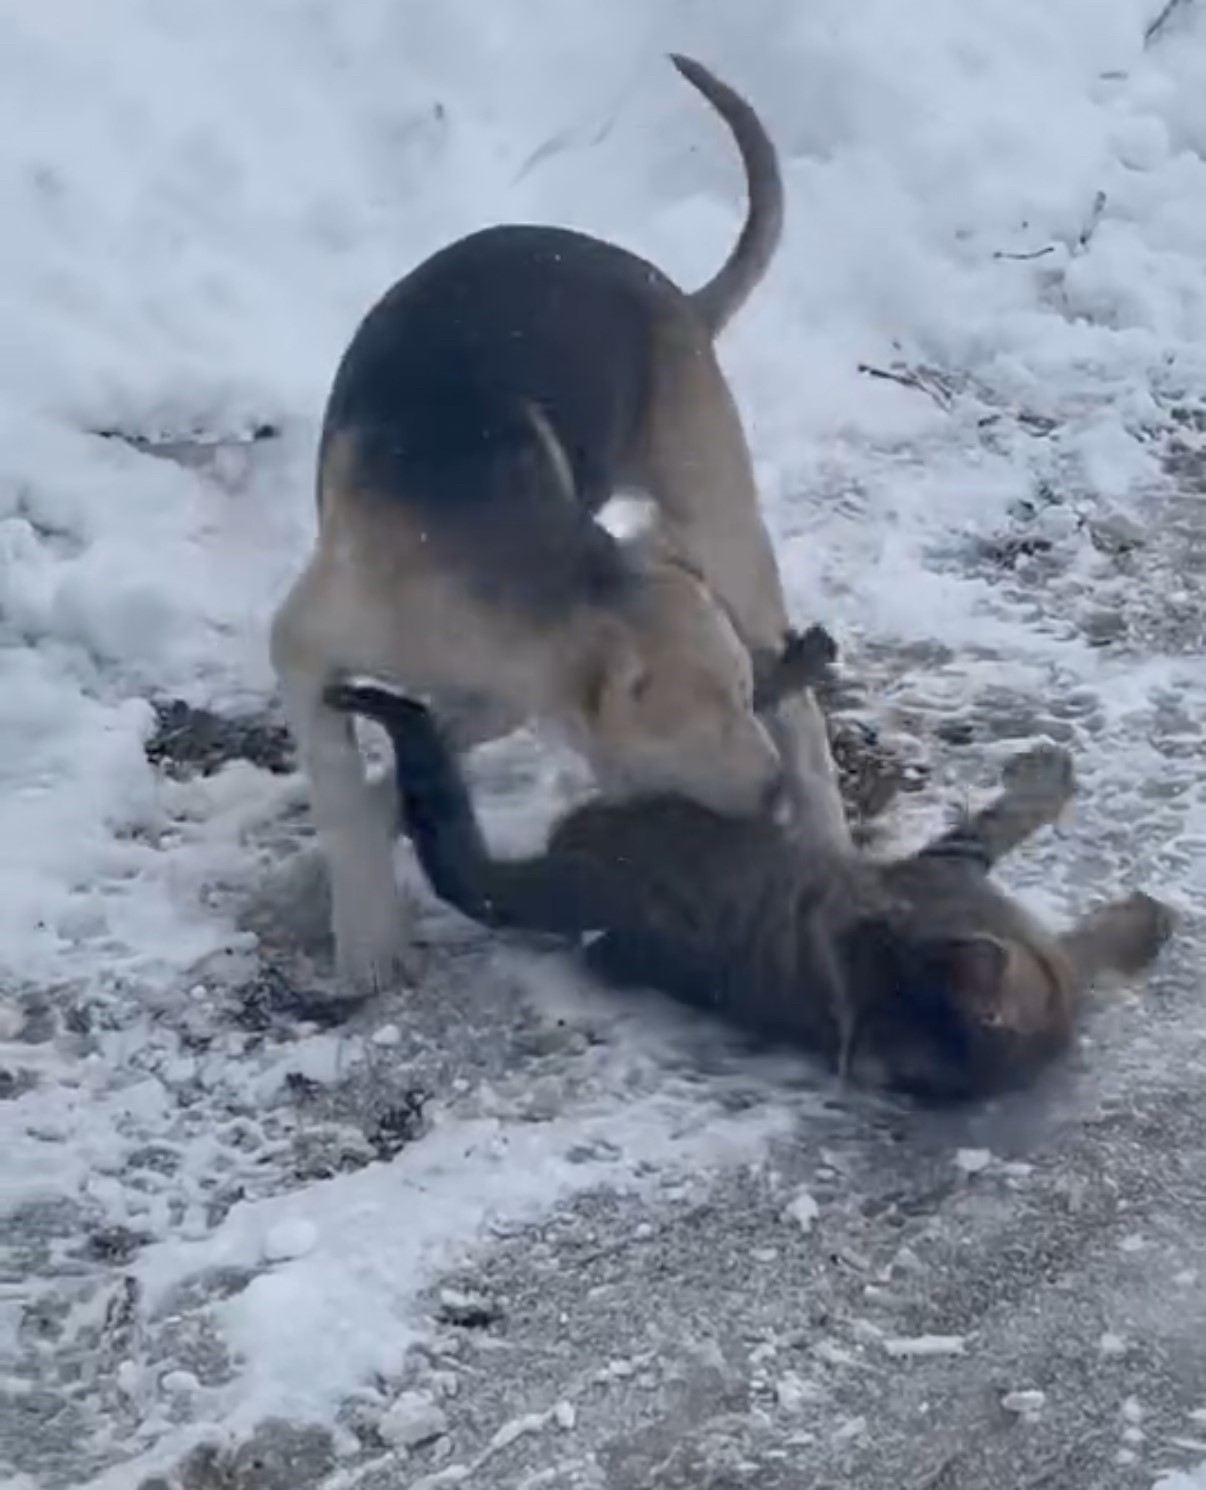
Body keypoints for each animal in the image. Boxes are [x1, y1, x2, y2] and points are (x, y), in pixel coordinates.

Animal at [269, 52, 846, 995]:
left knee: (799, 709)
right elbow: (344, 780)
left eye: (741, 693)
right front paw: (366, 929)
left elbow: (389, 779)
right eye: (713, 710)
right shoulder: (308, 646)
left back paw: (825, 822)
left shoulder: (504, 693)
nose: (770, 797)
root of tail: (673, 295)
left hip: (718, 516)